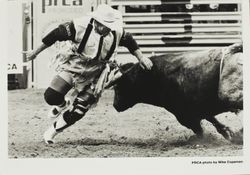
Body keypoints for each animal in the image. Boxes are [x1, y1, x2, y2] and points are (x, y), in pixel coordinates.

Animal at [111, 43, 242, 142]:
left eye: (118, 88)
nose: (115, 105)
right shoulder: (199, 108)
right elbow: (213, 120)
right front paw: (228, 133)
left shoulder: (183, 115)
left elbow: (199, 129)